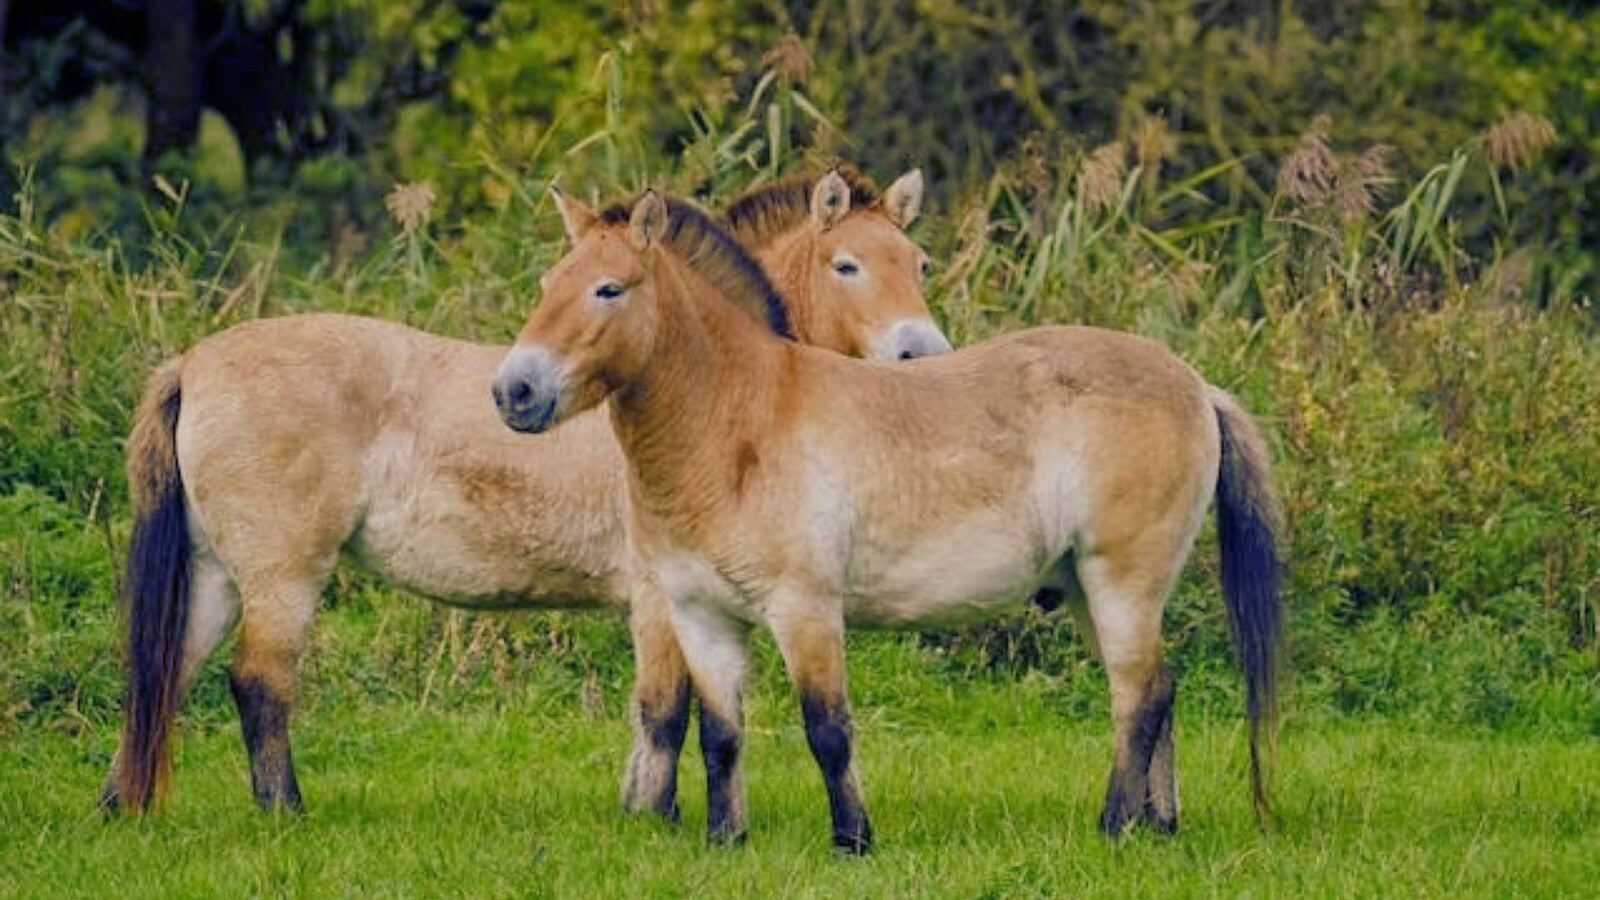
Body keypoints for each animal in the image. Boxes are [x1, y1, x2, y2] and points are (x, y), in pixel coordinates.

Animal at [103, 167, 948, 817]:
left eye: (918, 263)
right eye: (847, 265)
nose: (925, 354)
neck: (702, 385)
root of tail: (191, 364)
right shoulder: (659, 597)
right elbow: (665, 710)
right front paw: (655, 819)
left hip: (218, 575)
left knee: (165, 676)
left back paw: (124, 808)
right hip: (283, 578)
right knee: (259, 686)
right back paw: (284, 812)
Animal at [493, 189, 1284, 853]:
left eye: (608, 288)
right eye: (547, 285)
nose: (514, 391)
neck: (737, 420)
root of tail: (1195, 385)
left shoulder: (807, 611)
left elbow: (827, 729)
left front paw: (852, 841)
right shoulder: (701, 617)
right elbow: (720, 734)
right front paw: (725, 840)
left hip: (1121, 585)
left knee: (1137, 699)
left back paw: (1114, 827)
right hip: (1093, 594)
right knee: (1159, 691)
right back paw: (1159, 828)